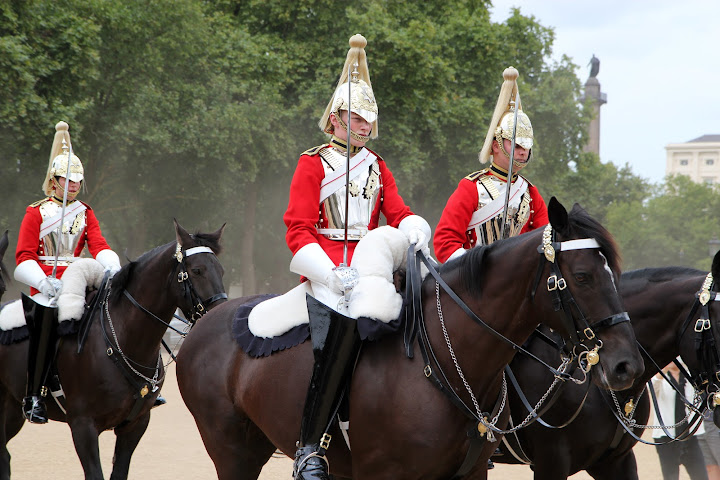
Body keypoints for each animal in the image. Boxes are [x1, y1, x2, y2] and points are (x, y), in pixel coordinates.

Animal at [0, 222, 225, 480]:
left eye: (221, 270)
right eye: (197, 270)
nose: (219, 315)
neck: (124, 341)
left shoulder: (135, 425)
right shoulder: (83, 426)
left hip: (13, 411)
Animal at [177, 200, 644, 480]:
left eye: (615, 272)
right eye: (582, 276)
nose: (627, 366)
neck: (441, 361)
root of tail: (206, 321)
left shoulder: (471, 474)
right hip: (230, 450)